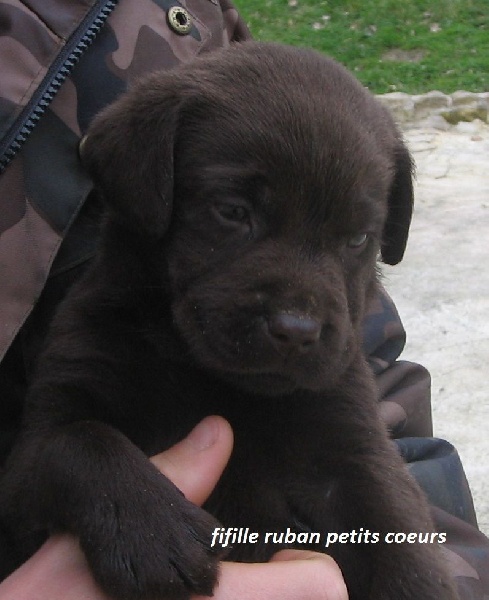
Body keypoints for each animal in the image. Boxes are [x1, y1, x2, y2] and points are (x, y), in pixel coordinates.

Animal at [0, 42, 459, 600]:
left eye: (358, 239)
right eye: (233, 211)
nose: (297, 331)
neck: (205, 373)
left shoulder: (352, 449)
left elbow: (396, 533)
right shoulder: (33, 449)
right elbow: (83, 442)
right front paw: (155, 535)